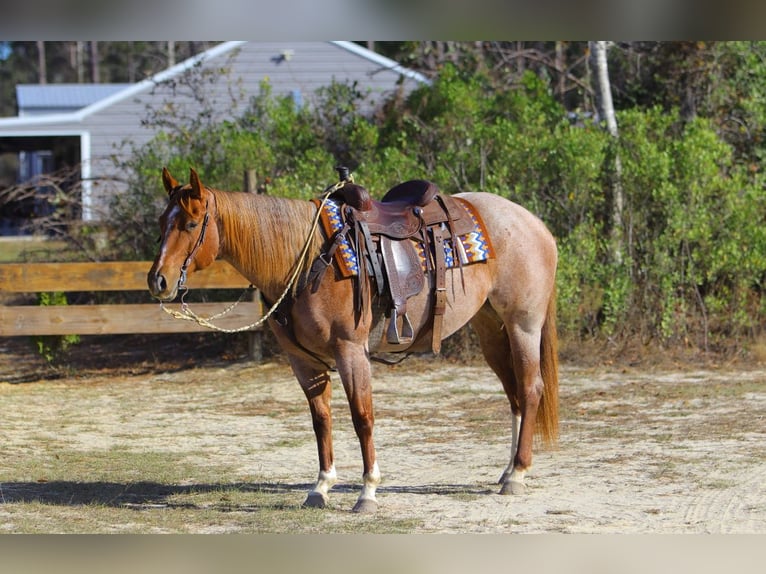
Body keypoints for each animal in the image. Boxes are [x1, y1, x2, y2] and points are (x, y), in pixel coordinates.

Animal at [148, 167, 559, 513]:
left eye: (190, 222)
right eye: (162, 222)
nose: (158, 280)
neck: (308, 260)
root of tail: (534, 223)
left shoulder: (350, 352)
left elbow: (362, 417)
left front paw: (368, 492)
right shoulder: (302, 360)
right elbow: (321, 419)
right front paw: (321, 487)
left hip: (523, 324)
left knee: (530, 388)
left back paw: (518, 473)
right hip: (490, 327)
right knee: (513, 393)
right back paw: (507, 470)